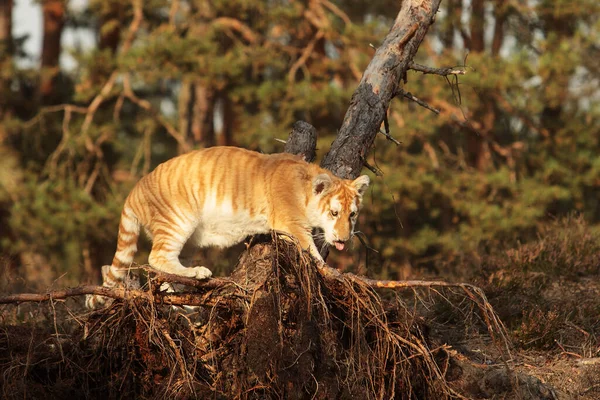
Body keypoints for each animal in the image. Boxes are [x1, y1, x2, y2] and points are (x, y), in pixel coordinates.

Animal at [86, 147, 368, 310]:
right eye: (334, 213)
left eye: (352, 215)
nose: (344, 240)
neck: (305, 190)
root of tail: (133, 191)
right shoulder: (290, 224)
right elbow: (312, 250)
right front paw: (331, 271)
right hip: (178, 220)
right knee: (157, 257)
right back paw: (198, 274)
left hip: (188, 240)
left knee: (163, 272)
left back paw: (185, 302)